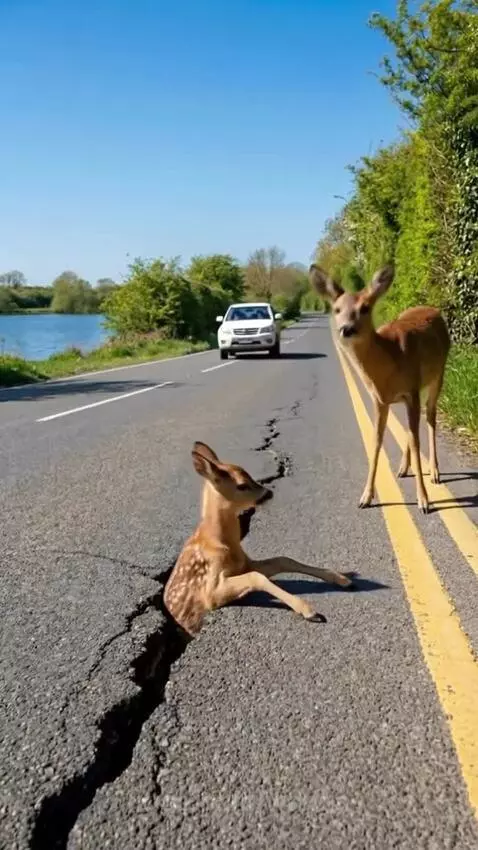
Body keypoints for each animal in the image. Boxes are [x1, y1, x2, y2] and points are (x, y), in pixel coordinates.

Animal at [163, 441, 353, 636]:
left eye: (249, 475)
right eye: (241, 485)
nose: (268, 493)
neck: (222, 543)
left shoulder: (246, 563)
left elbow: (283, 560)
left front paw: (340, 578)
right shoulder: (209, 590)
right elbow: (256, 577)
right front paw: (307, 610)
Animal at [309, 264, 450, 514]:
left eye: (365, 308)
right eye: (337, 309)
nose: (346, 329)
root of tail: (433, 309)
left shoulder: (411, 390)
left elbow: (415, 440)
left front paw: (424, 500)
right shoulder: (380, 399)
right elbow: (377, 442)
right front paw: (365, 497)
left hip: (438, 374)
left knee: (431, 415)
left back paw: (434, 472)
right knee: (413, 427)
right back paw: (403, 468)